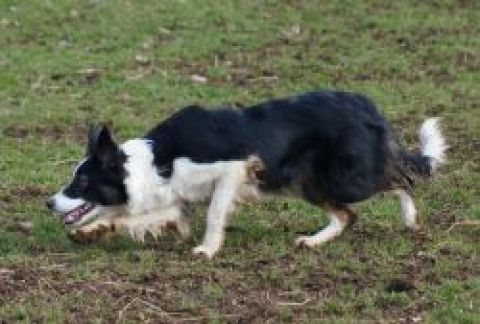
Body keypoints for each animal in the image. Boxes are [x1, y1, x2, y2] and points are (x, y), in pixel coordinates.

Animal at [46, 91, 446, 258]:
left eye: (82, 182)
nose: (49, 202)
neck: (156, 162)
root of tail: (365, 104)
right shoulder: (177, 200)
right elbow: (132, 219)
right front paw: (90, 232)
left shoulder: (232, 169)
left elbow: (214, 214)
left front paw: (208, 249)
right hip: (306, 182)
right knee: (348, 215)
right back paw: (312, 242)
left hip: (346, 178)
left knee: (400, 178)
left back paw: (410, 218)